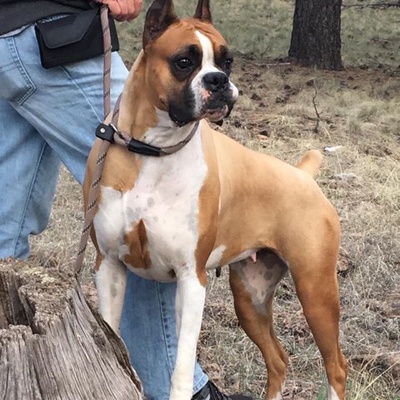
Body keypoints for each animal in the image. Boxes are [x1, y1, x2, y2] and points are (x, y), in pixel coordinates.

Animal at [83, 0, 347, 399]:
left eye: (228, 61)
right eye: (184, 61)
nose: (218, 81)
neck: (153, 151)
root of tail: (303, 175)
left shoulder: (191, 280)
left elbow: (180, 366)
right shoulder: (109, 266)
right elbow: (111, 338)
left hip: (316, 291)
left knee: (336, 368)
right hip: (250, 297)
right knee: (278, 359)